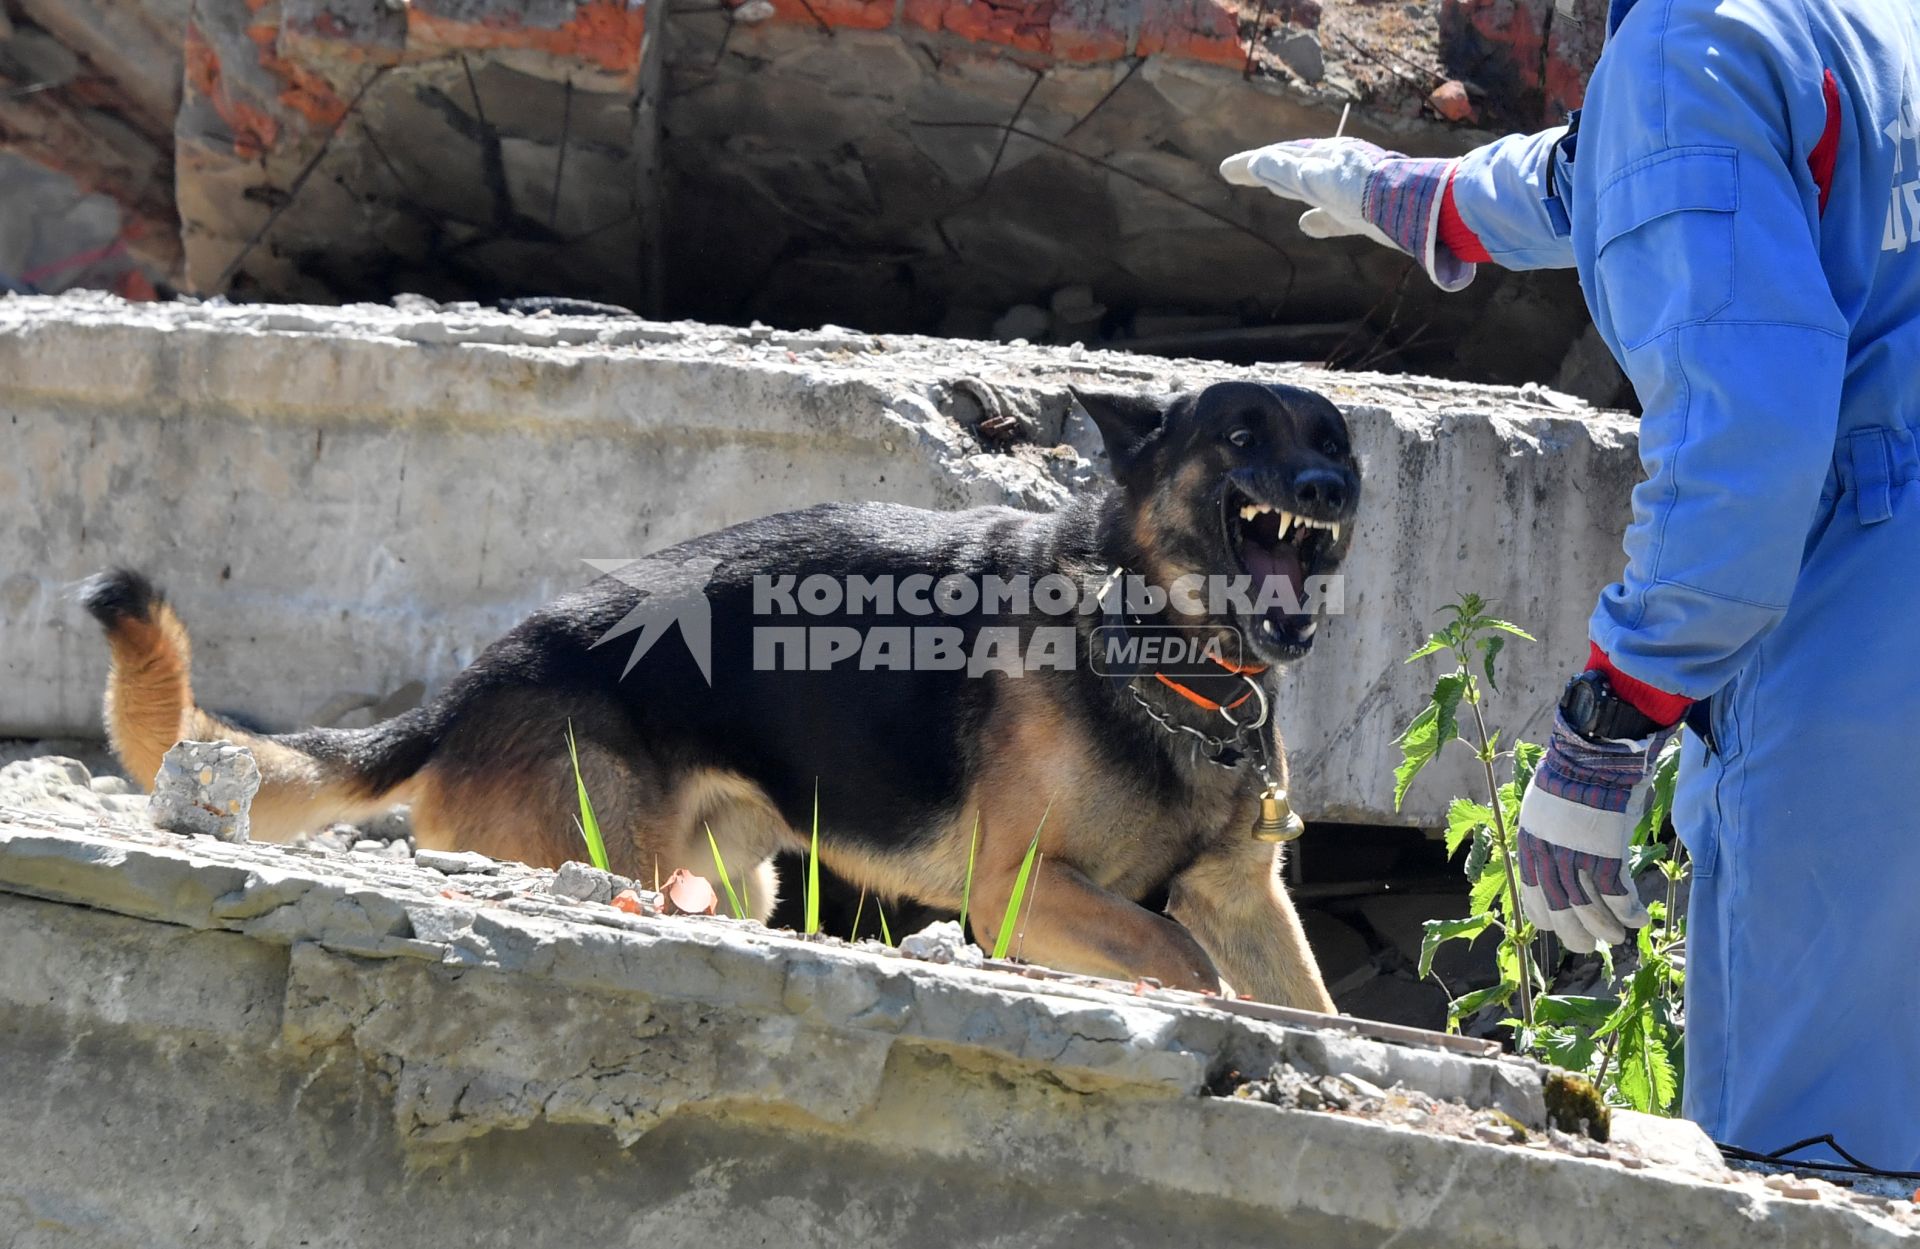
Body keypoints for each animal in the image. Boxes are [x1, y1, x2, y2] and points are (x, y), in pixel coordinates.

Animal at [82, 377, 1359, 1005]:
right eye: (1242, 436)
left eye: (1335, 440)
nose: (1331, 487)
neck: (1170, 657)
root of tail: (472, 681)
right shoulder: (1021, 892)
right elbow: (1182, 958)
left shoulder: (1247, 900)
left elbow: (1308, 1003)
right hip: (614, 856)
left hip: (734, 882)